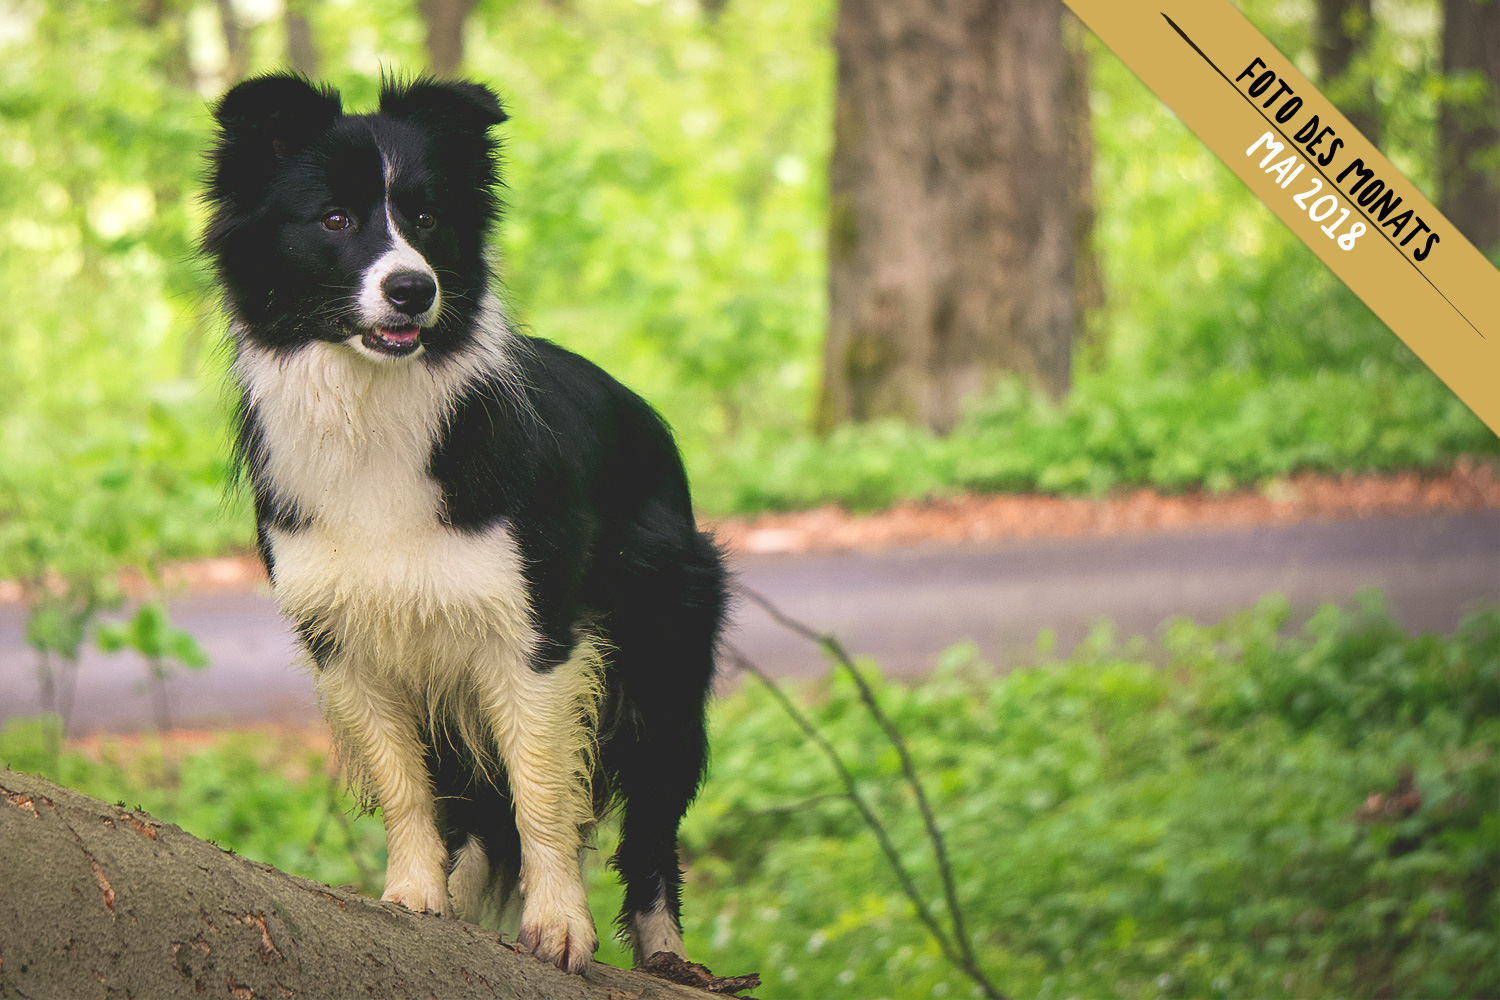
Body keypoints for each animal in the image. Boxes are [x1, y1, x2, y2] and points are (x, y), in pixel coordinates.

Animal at [202, 72, 729, 977]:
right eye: (334, 219)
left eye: (424, 218)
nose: (413, 289)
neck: (372, 406)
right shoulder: (347, 639)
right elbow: (405, 783)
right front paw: (416, 895)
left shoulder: (533, 634)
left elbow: (542, 790)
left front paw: (560, 925)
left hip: (665, 659)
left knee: (652, 824)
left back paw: (668, 957)